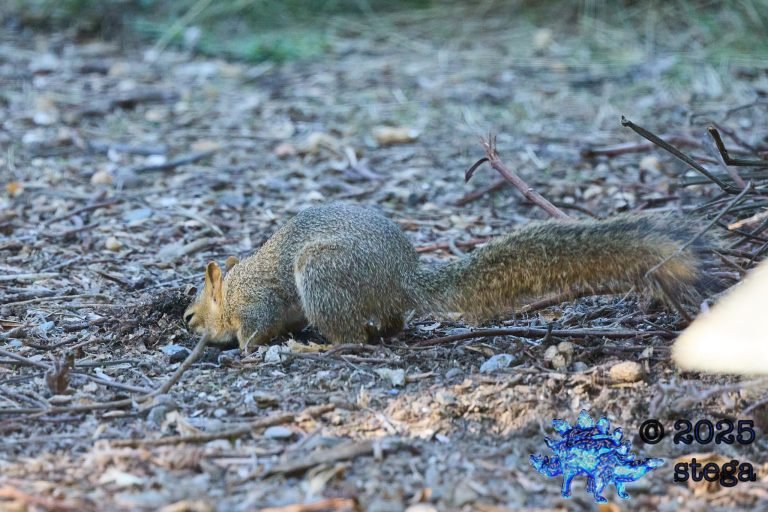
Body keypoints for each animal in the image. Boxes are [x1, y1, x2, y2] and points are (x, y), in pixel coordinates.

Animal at [184, 202, 716, 352]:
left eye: (189, 317)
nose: (189, 333)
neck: (230, 290)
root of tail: (400, 277)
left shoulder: (257, 301)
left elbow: (258, 325)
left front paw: (246, 349)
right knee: (390, 325)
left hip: (320, 275)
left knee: (354, 337)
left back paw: (318, 347)